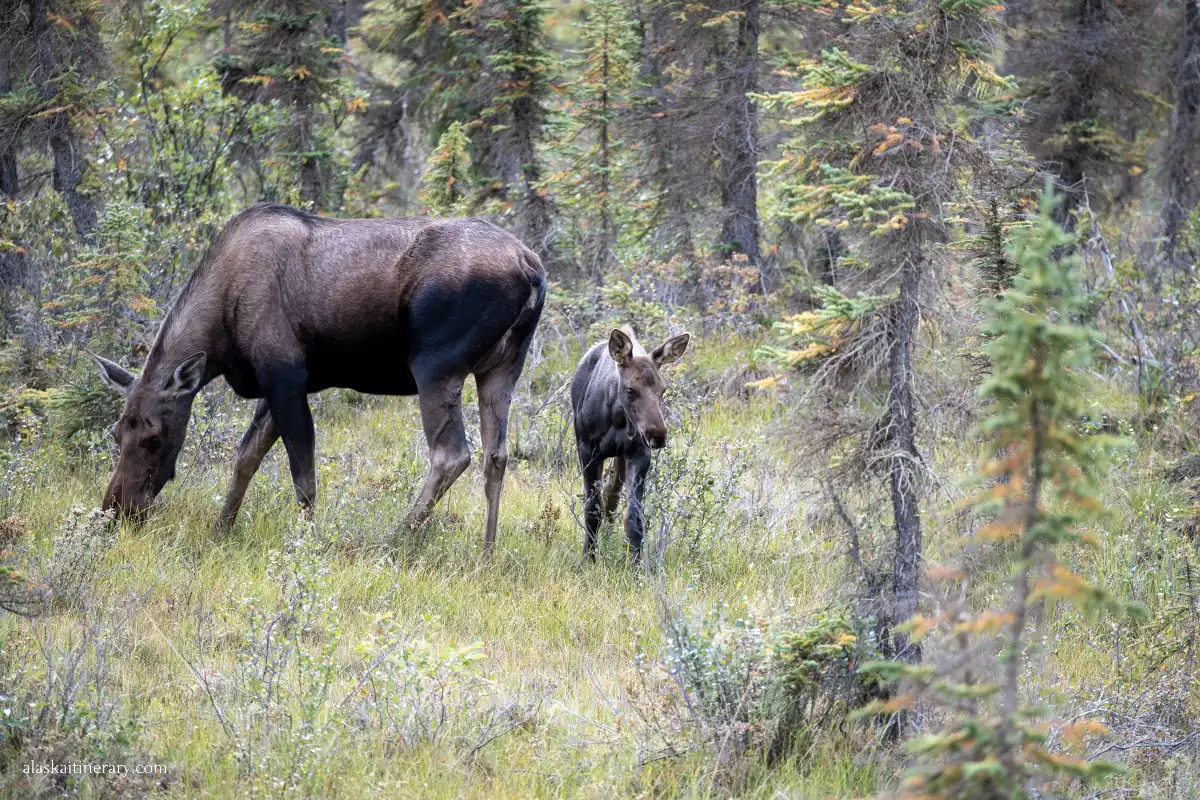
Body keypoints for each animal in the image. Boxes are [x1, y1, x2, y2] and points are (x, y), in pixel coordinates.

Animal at [92, 203, 546, 557]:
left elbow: (303, 479)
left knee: (451, 454)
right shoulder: (276, 385)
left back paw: (395, 541)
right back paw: (486, 552)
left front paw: (306, 545)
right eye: (116, 432)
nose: (116, 511)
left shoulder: (286, 378)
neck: (220, 331)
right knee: (496, 455)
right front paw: (220, 530)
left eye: (153, 437)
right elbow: (245, 459)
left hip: (436, 365)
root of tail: (532, 270)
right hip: (502, 367)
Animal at [570, 325, 691, 565]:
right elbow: (592, 508)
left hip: (620, 458)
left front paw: (634, 564)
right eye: (630, 390)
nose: (657, 435)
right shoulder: (587, 450)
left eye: (663, 389)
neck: (616, 418)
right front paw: (589, 558)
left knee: (612, 501)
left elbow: (635, 514)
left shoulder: (638, 452)